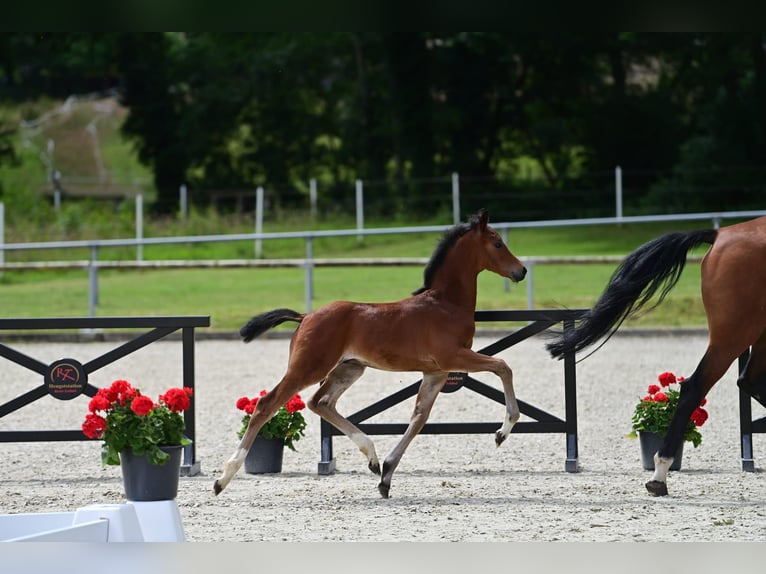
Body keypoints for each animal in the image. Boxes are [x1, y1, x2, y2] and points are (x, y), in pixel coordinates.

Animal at [216, 212, 528, 500]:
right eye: (498, 243)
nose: (522, 271)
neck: (445, 303)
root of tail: (306, 317)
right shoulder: (454, 357)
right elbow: (503, 366)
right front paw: (502, 432)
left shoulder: (435, 372)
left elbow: (419, 417)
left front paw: (386, 475)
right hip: (309, 368)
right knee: (266, 405)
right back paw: (224, 478)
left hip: (349, 368)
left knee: (320, 402)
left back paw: (373, 457)